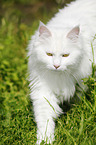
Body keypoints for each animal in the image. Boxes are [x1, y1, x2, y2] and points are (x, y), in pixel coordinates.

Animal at [27, 0, 95, 144]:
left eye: (65, 55)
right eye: (49, 54)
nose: (56, 65)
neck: (59, 77)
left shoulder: (81, 82)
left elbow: (78, 98)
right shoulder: (43, 91)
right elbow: (45, 120)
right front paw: (45, 140)